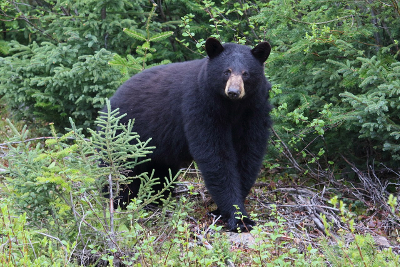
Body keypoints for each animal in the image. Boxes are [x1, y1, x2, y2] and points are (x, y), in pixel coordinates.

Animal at [103, 37, 272, 232]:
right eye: (226, 71)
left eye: (246, 73)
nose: (233, 92)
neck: (232, 108)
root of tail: (111, 99)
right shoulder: (201, 106)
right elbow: (215, 156)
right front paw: (238, 217)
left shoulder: (254, 110)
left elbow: (249, 153)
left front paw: (229, 212)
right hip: (123, 136)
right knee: (118, 170)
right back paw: (116, 200)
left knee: (158, 171)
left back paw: (155, 198)